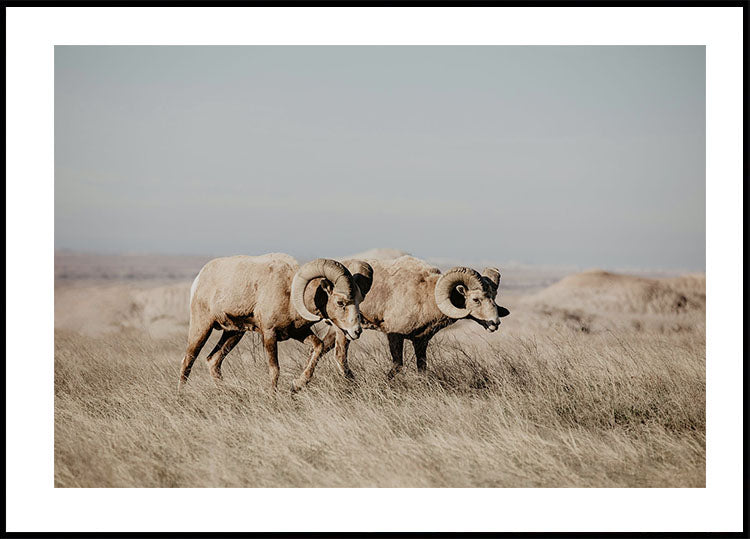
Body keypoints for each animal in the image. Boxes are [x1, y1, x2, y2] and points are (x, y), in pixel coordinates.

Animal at [179, 255, 374, 390]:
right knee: (187, 361)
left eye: (359, 301)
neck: (290, 295)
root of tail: (199, 279)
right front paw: (273, 396)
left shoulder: (299, 333)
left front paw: (298, 384)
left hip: (233, 333)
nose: (356, 331)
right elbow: (275, 370)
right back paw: (181, 395)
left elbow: (317, 348)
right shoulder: (269, 334)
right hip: (202, 328)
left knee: (213, 361)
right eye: (340, 302)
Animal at [324, 258, 512, 378]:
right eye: (476, 299)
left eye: (494, 297)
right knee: (340, 356)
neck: (425, 295)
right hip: (344, 332)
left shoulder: (421, 341)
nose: (495, 323)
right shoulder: (395, 336)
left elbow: (422, 368)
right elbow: (397, 367)